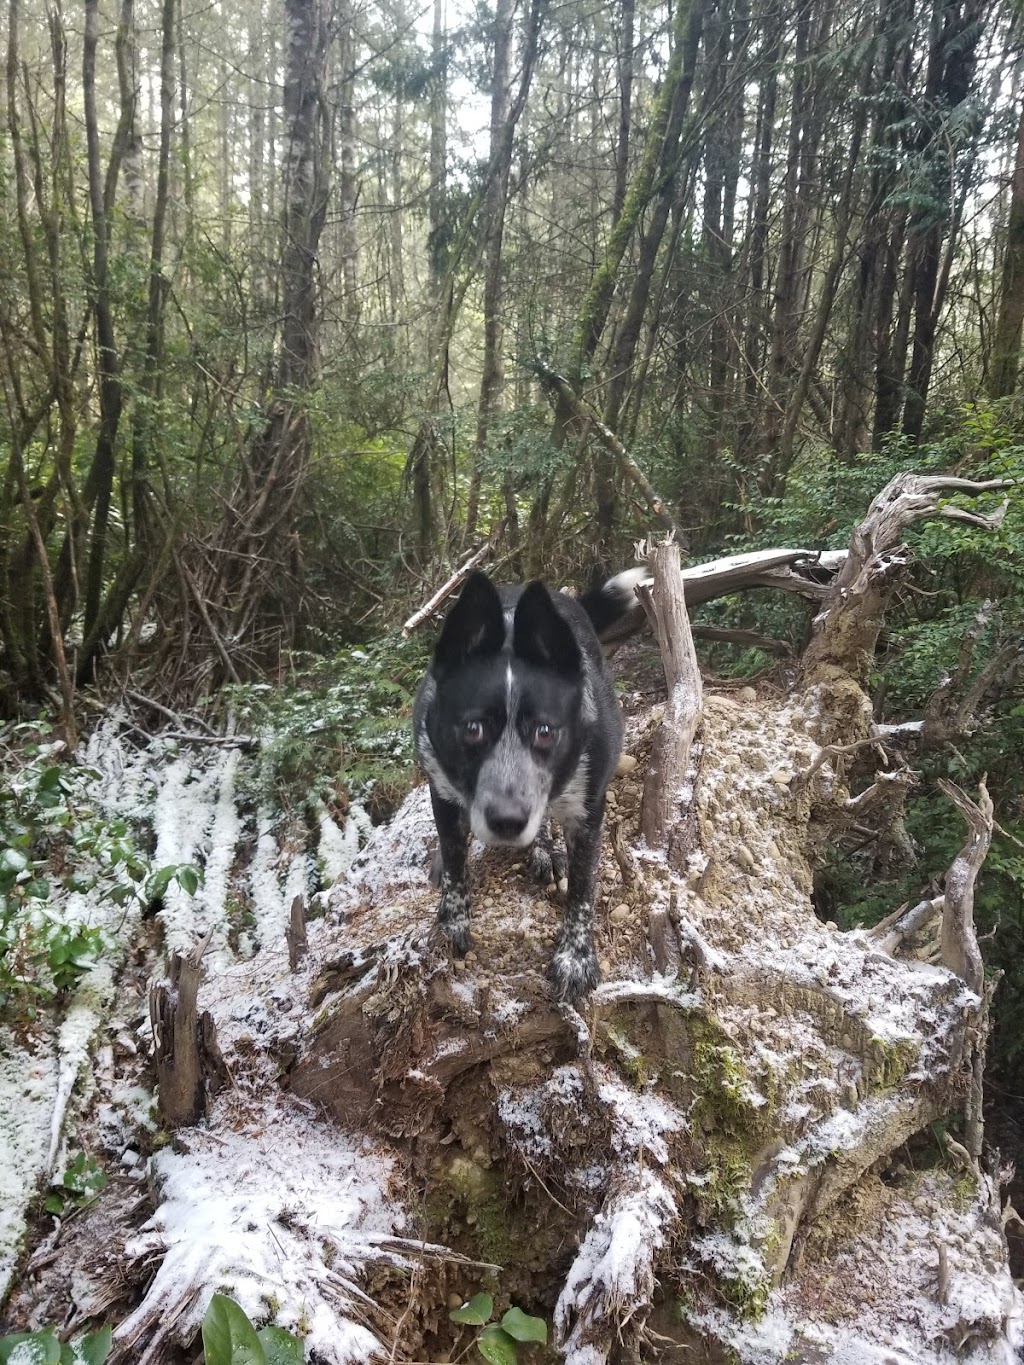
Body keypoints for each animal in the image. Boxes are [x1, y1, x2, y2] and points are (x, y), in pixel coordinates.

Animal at [412, 565, 644, 1004]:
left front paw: (575, 958)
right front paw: (451, 924)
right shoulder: (442, 789)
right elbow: (454, 861)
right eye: (473, 728)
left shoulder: (588, 811)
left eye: (545, 731)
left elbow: (583, 888)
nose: (507, 821)